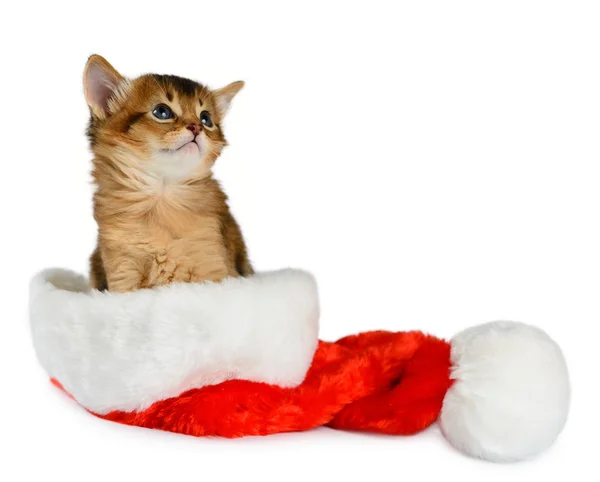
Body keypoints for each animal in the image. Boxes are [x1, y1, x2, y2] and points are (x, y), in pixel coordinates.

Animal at [83, 54, 252, 292]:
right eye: (162, 112)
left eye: (206, 118)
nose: (196, 127)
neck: (163, 196)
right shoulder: (123, 275)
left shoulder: (214, 267)